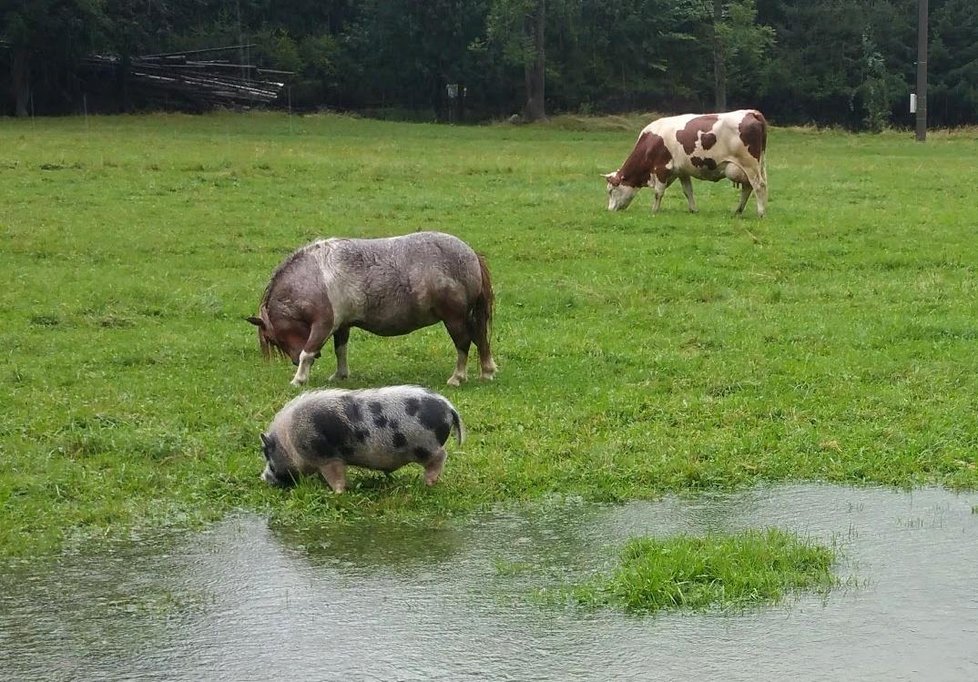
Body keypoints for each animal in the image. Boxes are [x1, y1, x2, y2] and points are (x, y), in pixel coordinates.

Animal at [260, 386, 466, 492]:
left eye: (267, 456)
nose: (263, 478)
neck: (289, 442)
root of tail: (449, 407)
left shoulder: (328, 457)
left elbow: (336, 477)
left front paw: (337, 493)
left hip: (426, 446)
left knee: (441, 456)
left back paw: (428, 483)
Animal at [604, 109, 772, 216]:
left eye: (611, 190)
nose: (610, 210)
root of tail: (752, 112)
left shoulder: (661, 168)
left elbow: (658, 192)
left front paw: (654, 210)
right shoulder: (681, 171)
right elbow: (688, 191)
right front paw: (693, 210)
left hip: (749, 164)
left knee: (758, 186)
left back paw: (761, 212)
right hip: (753, 166)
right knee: (748, 187)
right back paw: (738, 210)